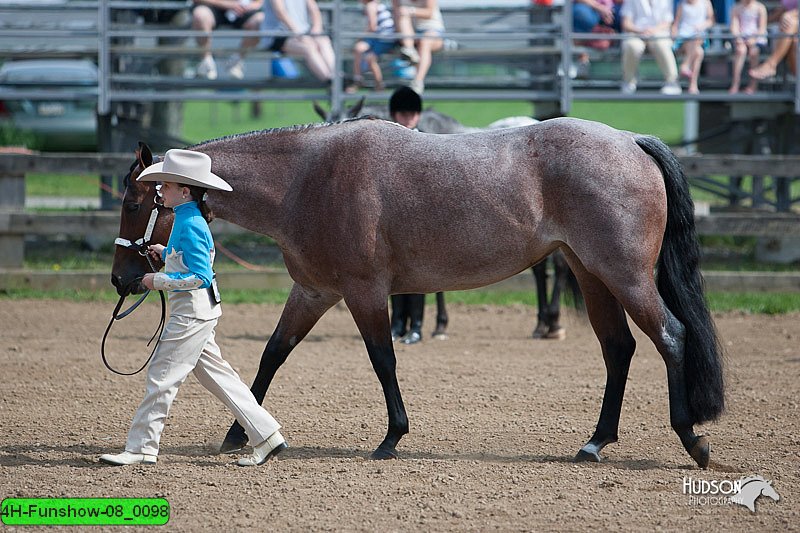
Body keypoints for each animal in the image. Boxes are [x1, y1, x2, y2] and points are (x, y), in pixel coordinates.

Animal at [112, 116, 724, 466]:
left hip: (625, 275)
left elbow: (382, 359)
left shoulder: (363, 291)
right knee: (618, 349)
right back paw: (595, 443)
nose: (122, 279)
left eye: (135, 202)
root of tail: (630, 140)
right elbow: (272, 355)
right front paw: (240, 435)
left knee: (672, 336)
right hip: (591, 274)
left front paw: (391, 439)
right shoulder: (312, 291)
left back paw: (692, 441)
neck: (308, 178)